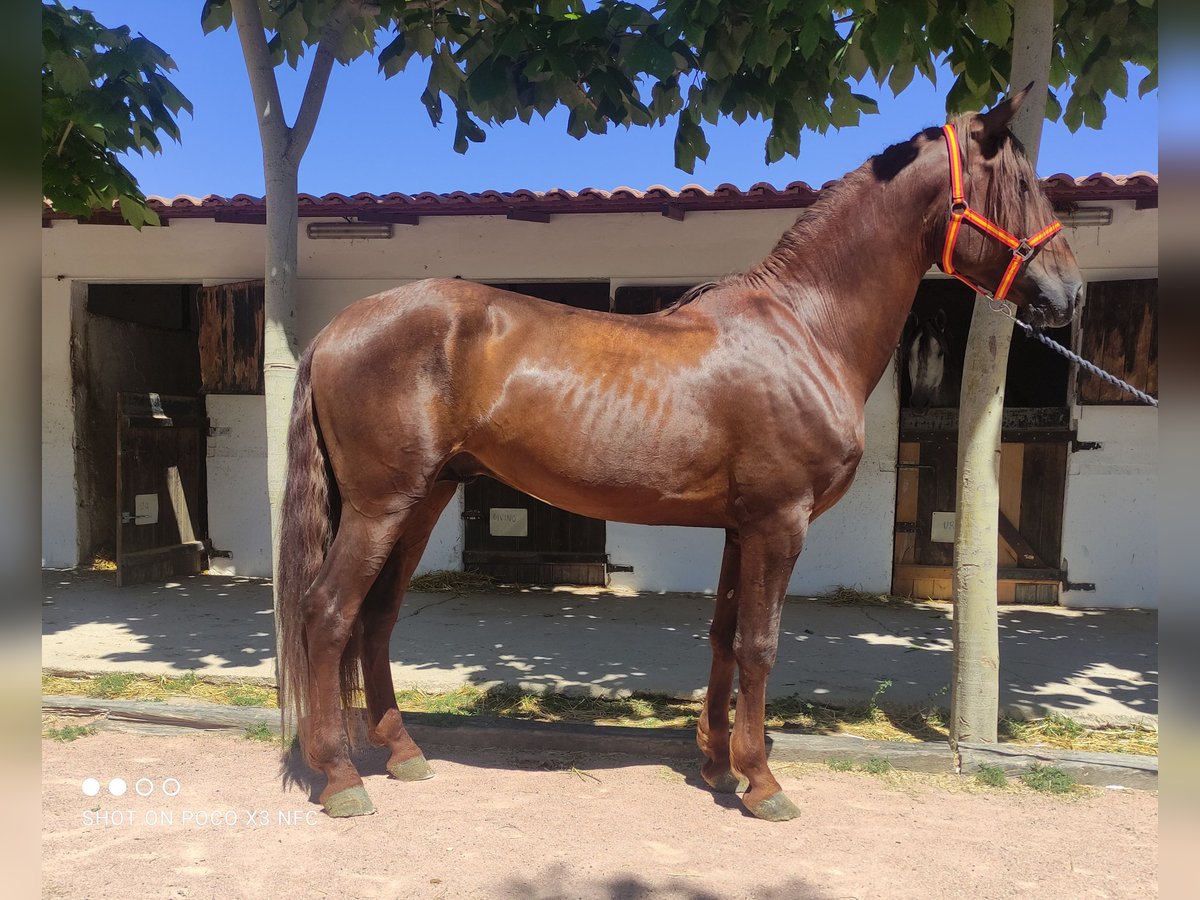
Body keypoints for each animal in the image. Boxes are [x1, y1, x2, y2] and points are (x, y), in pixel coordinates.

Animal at [276, 90, 1084, 825]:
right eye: (1019, 185)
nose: (1071, 293)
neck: (806, 329)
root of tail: (341, 327)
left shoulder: (740, 527)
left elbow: (725, 637)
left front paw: (718, 765)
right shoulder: (779, 523)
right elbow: (760, 645)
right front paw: (763, 784)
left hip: (425, 498)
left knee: (376, 617)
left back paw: (402, 753)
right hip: (382, 506)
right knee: (329, 613)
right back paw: (341, 777)